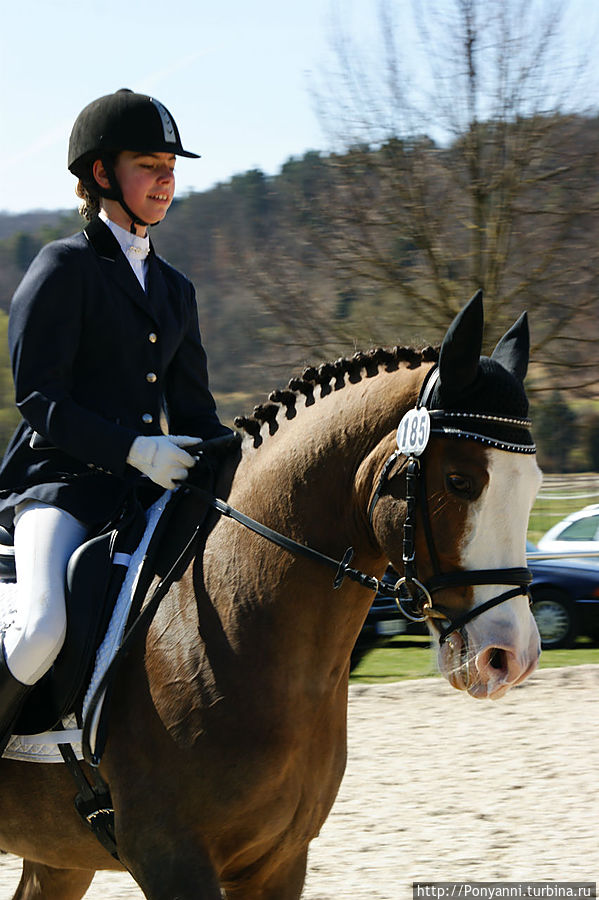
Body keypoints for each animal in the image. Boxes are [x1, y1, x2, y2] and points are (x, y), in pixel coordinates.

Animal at [0, 294, 544, 892]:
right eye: (459, 482)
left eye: (535, 485)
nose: (510, 657)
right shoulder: (170, 859)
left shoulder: (279, 861)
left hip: (60, 859)